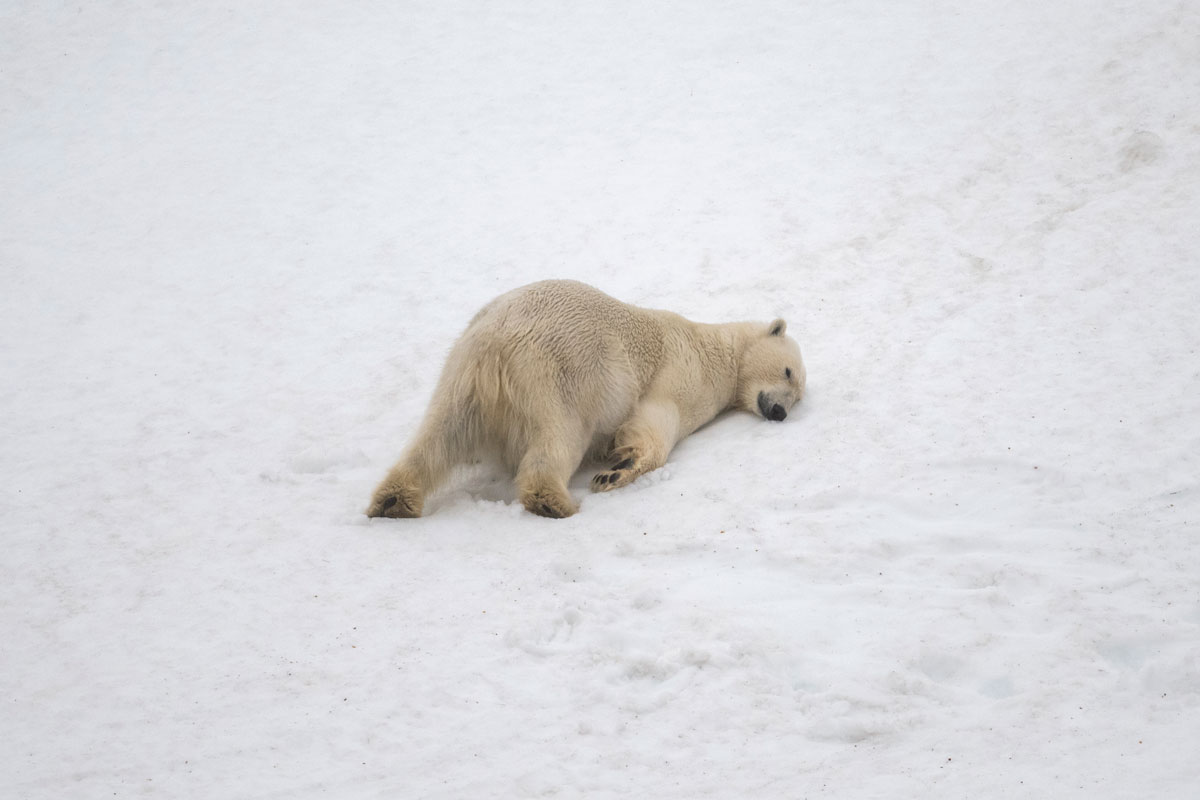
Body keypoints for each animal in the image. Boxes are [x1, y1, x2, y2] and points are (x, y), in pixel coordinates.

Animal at [366, 279, 805, 519]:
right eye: (789, 373)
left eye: (798, 398)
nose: (779, 411)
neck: (714, 348)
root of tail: (497, 346)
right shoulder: (679, 373)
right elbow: (654, 425)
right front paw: (615, 470)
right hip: (566, 375)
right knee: (560, 436)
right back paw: (553, 501)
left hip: (461, 371)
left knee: (440, 432)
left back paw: (394, 500)